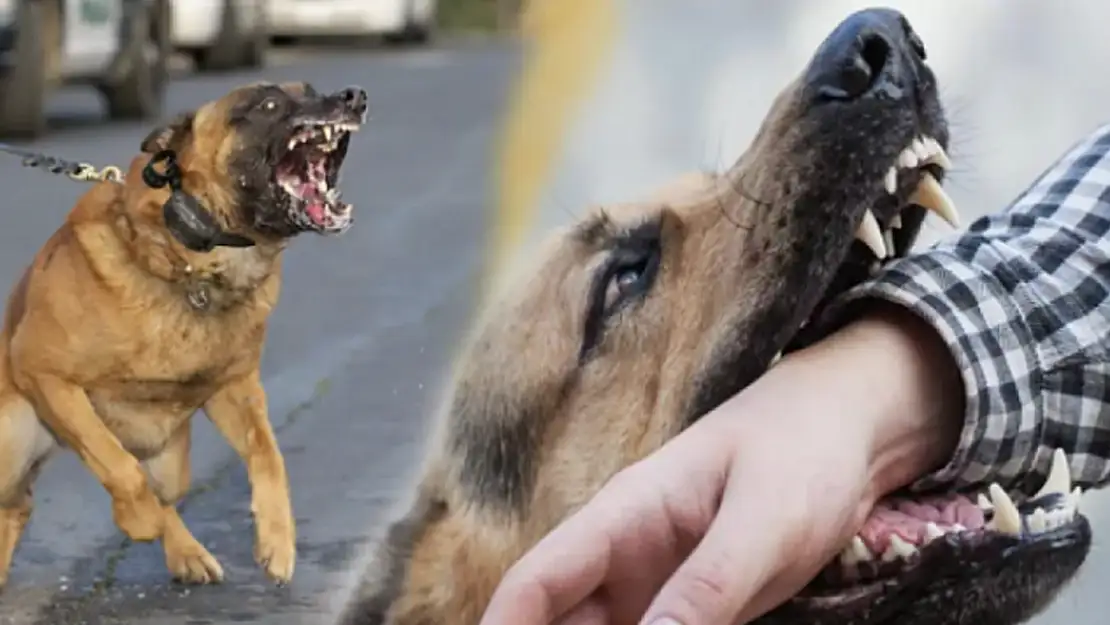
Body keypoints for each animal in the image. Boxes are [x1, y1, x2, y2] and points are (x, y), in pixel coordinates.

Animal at [0, 80, 372, 590]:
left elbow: (269, 456)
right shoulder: (45, 373)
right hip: (10, 441)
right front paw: (136, 518)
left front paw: (278, 540)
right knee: (24, 501)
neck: (194, 260)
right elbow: (115, 464)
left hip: (171, 462)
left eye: (313, 90)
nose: (354, 96)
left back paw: (188, 553)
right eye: (269, 104)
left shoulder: (236, 391)